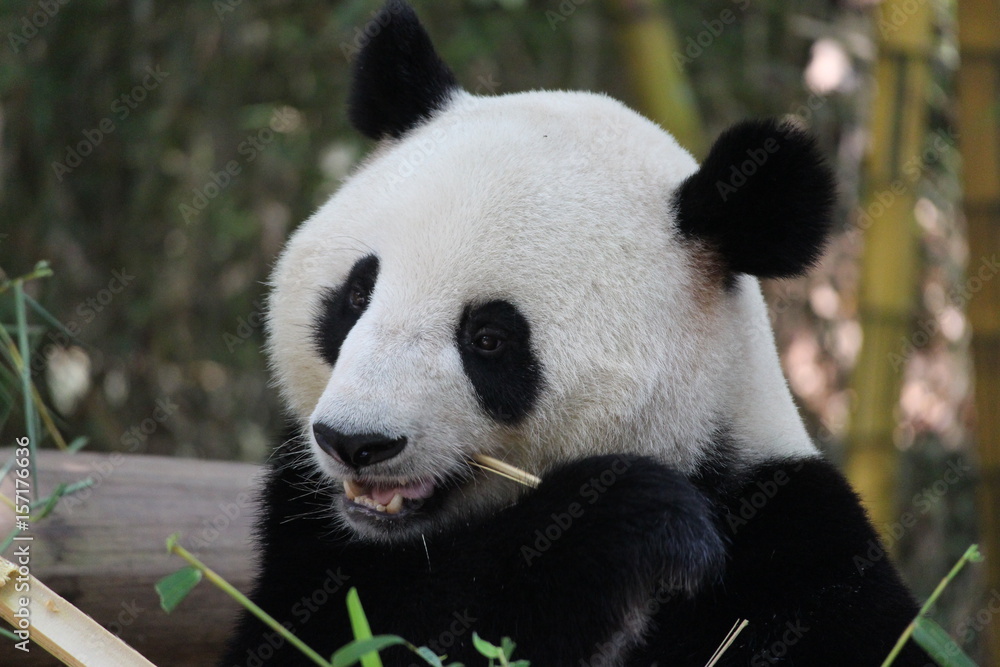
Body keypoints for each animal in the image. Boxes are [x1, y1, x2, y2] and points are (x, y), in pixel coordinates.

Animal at [221, 2, 930, 665]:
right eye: (357, 295)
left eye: (489, 338)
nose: (356, 442)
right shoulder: (306, 524)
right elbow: (358, 631)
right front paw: (629, 521)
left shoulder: (795, 539)